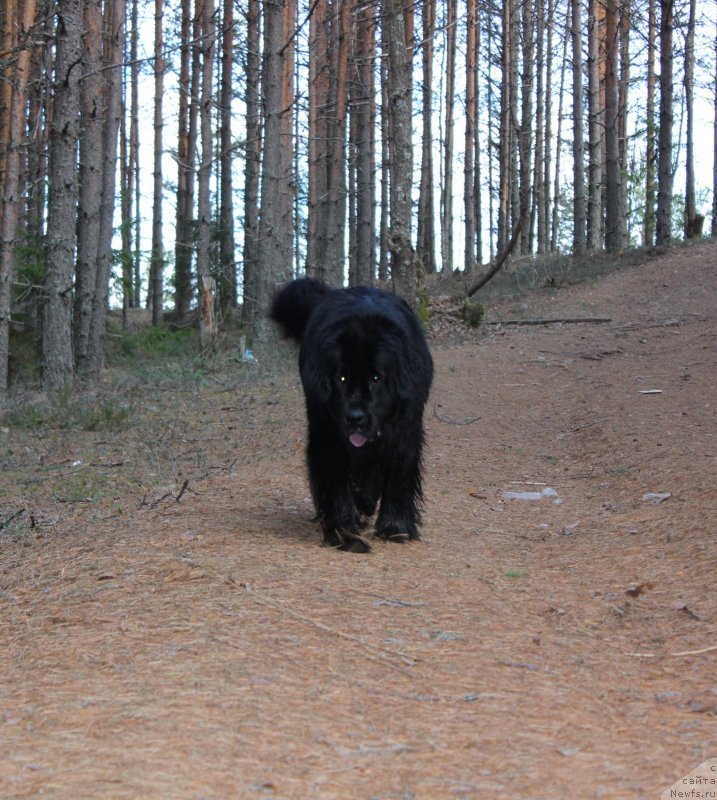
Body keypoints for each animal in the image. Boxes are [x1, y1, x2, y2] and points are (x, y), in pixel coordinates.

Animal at [272, 278, 434, 552]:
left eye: (376, 378)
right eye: (342, 378)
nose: (355, 417)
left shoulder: (405, 429)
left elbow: (398, 476)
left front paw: (395, 527)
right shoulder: (328, 431)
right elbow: (336, 479)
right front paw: (342, 527)